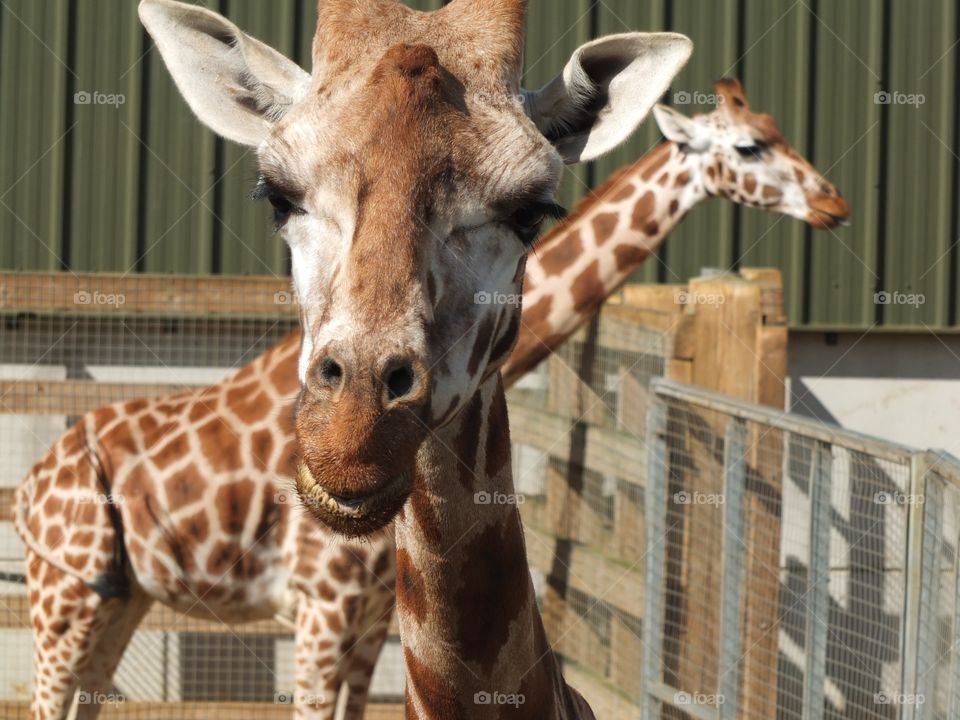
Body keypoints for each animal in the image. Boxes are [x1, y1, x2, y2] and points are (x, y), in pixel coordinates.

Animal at [13, 72, 849, 717]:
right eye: (749, 147)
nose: (834, 205)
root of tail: (25, 489)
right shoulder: (320, 608)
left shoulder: (370, 616)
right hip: (64, 594)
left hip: (120, 598)